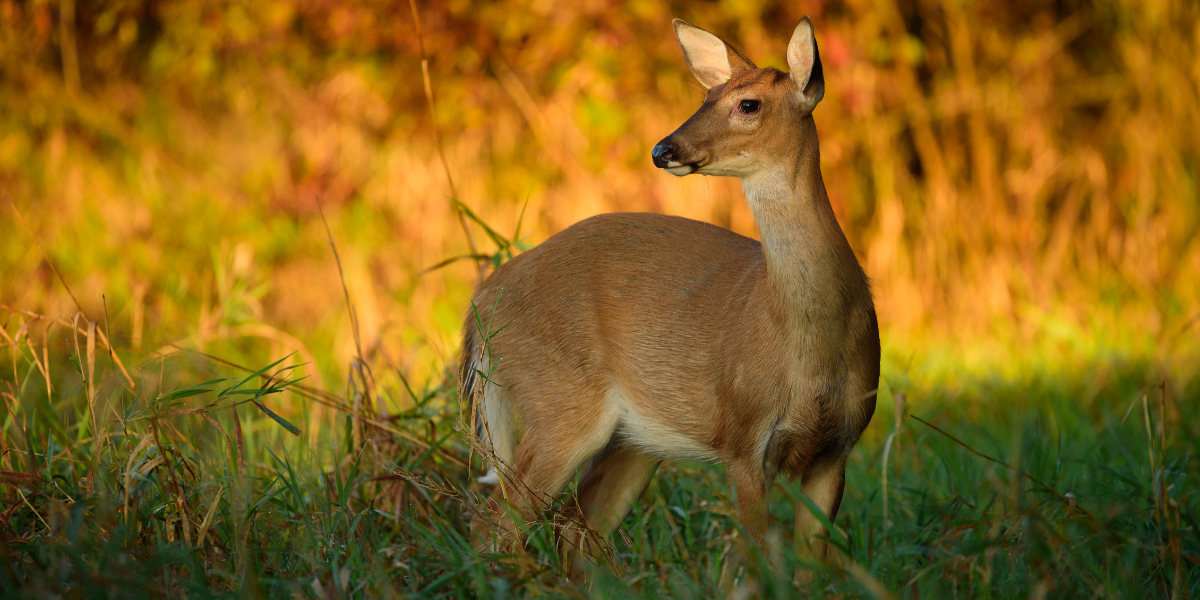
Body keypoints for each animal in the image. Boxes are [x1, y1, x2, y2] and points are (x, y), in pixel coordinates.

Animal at [458, 15, 879, 580]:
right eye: (706, 97)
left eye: (748, 104)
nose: (664, 150)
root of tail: (482, 300)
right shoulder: (743, 437)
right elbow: (762, 559)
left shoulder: (839, 447)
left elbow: (811, 564)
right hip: (558, 399)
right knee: (496, 522)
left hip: (633, 441)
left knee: (573, 527)